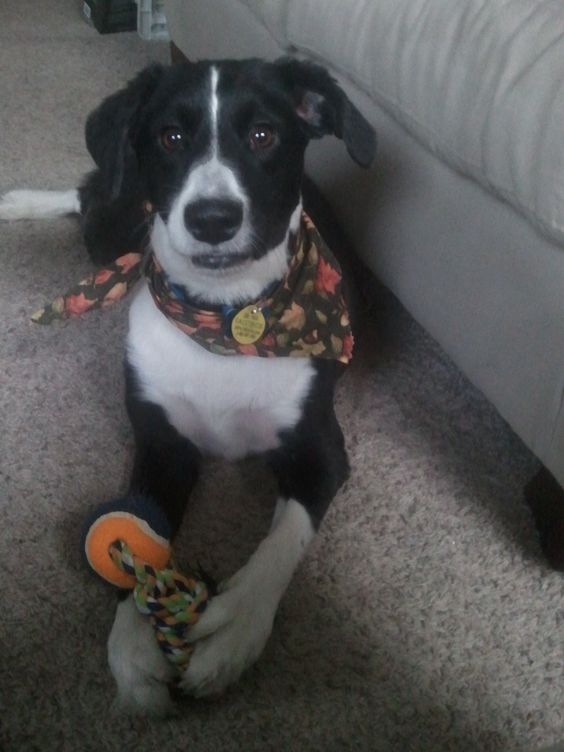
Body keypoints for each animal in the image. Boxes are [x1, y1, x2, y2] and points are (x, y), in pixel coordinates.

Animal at [1, 57, 378, 712]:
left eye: (263, 135)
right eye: (171, 137)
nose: (212, 218)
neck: (225, 316)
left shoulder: (321, 451)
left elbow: (281, 544)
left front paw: (231, 633)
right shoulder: (162, 444)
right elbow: (140, 531)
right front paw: (132, 645)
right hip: (117, 219)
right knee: (88, 198)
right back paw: (18, 202)